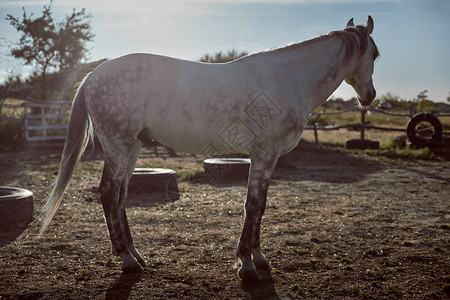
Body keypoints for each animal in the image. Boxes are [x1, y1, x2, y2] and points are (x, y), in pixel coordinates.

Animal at [41, 17, 380, 284]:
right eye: (375, 54)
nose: (370, 96)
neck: (287, 79)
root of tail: (93, 75)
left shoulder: (268, 160)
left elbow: (260, 207)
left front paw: (259, 257)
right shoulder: (264, 155)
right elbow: (253, 206)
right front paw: (247, 265)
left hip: (132, 147)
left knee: (121, 196)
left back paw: (136, 256)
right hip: (118, 146)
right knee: (109, 194)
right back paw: (126, 261)